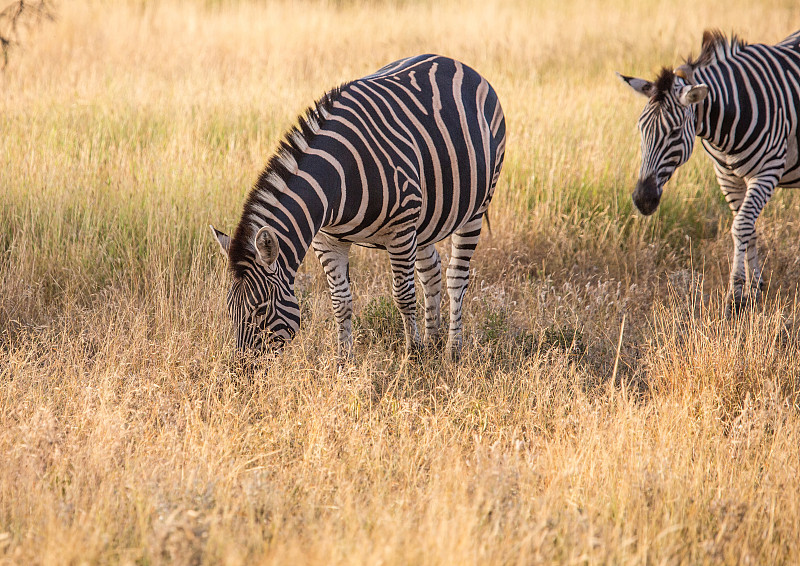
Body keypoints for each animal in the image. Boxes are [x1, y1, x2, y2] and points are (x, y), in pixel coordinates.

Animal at [209, 55, 504, 362]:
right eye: (230, 311)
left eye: (261, 310)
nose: (242, 369)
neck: (336, 182)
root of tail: (457, 63)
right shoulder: (327, 239)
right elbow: (340, 301)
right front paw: (343, 360)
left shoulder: (400, 231)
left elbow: (403, 295)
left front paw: (412, 356)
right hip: (425, 220)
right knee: (431, 272)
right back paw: (432, 341)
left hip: (475, 209)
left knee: (456, 277)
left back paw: (451, 350)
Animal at [620, 28, 800, 318]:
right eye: (640, 129)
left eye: (674, 132)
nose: (642, 200)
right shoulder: (727, 176)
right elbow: (747, 228)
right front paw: (754, 290)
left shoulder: (767, 171)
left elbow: (741, 226)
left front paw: (735, 299)